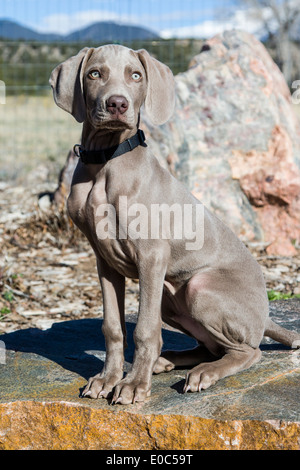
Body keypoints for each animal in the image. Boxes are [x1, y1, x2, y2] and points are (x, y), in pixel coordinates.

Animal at [49, 44, 300, 404]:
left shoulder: (151, 256)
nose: (117, 104)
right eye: (94, 73)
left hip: (197, 288)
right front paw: (107, 378)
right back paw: (166, 362)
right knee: (210, 347)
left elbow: (144, 329)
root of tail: (264, 317)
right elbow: (113, 326)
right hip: (170, 297)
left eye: (135, 75)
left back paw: (201, 374)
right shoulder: (104, 260)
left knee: (247, 351)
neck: (106, 162)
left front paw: (133, 385)